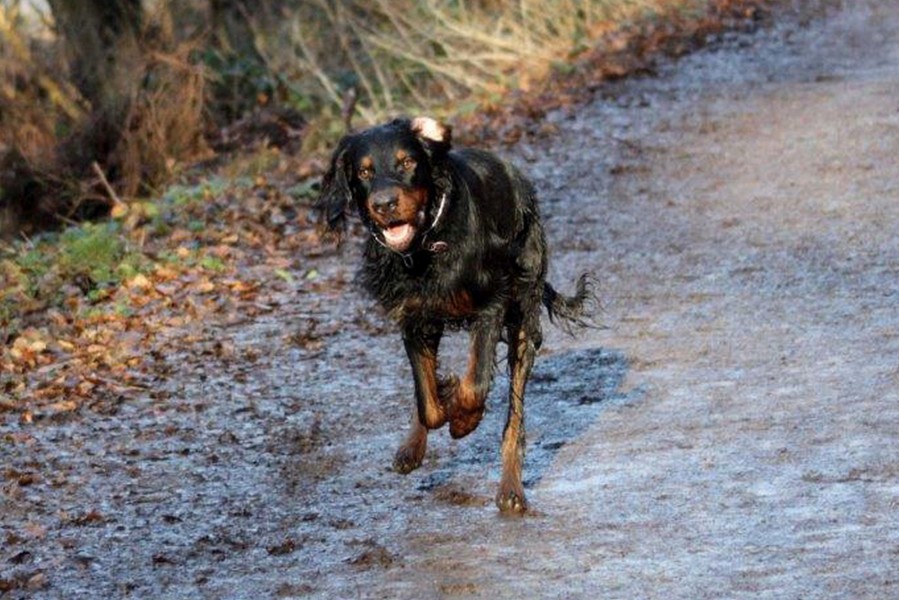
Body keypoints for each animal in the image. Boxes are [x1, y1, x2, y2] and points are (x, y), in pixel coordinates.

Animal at [317, 117, 593, 513]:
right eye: (365, 171)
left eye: (407, 162)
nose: (384, 204)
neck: (427, 243)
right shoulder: (414, 317)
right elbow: (428, 402)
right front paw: (443, 400)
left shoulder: (492, 303)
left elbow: (474, 386)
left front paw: (464, 420)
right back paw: (412, 445)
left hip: (523, 311)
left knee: (515, 415)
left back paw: (511, 489)